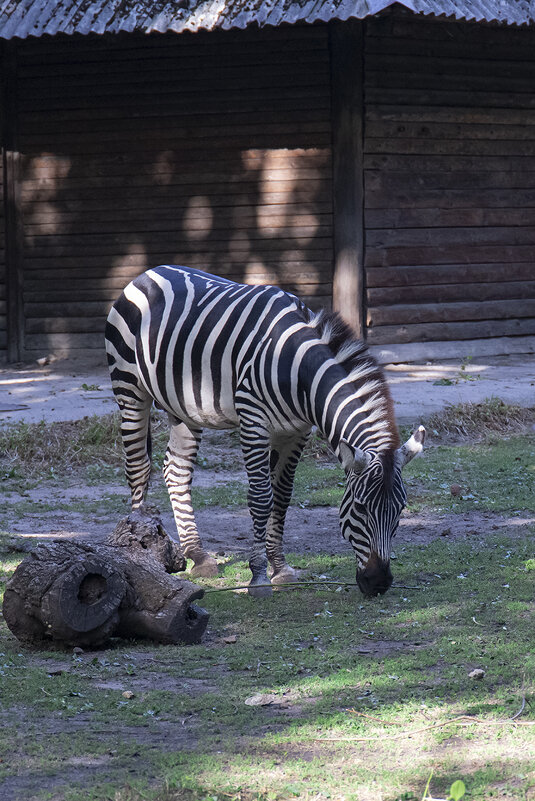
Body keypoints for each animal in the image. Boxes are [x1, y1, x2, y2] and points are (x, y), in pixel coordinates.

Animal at [105, 266, 428, 596]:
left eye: (400, 509)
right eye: (361, 509)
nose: (379, 583)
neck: (297, 370)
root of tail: (150, 272)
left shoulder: (297, 431)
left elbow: (282, 497)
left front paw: (280, 567)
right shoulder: (253, 420)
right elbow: (262, 498)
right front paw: (259, 576)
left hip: (184, 406)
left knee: (176, 470)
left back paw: (199, 555)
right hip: (129, 387)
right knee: (138, 466)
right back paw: (139, 546)